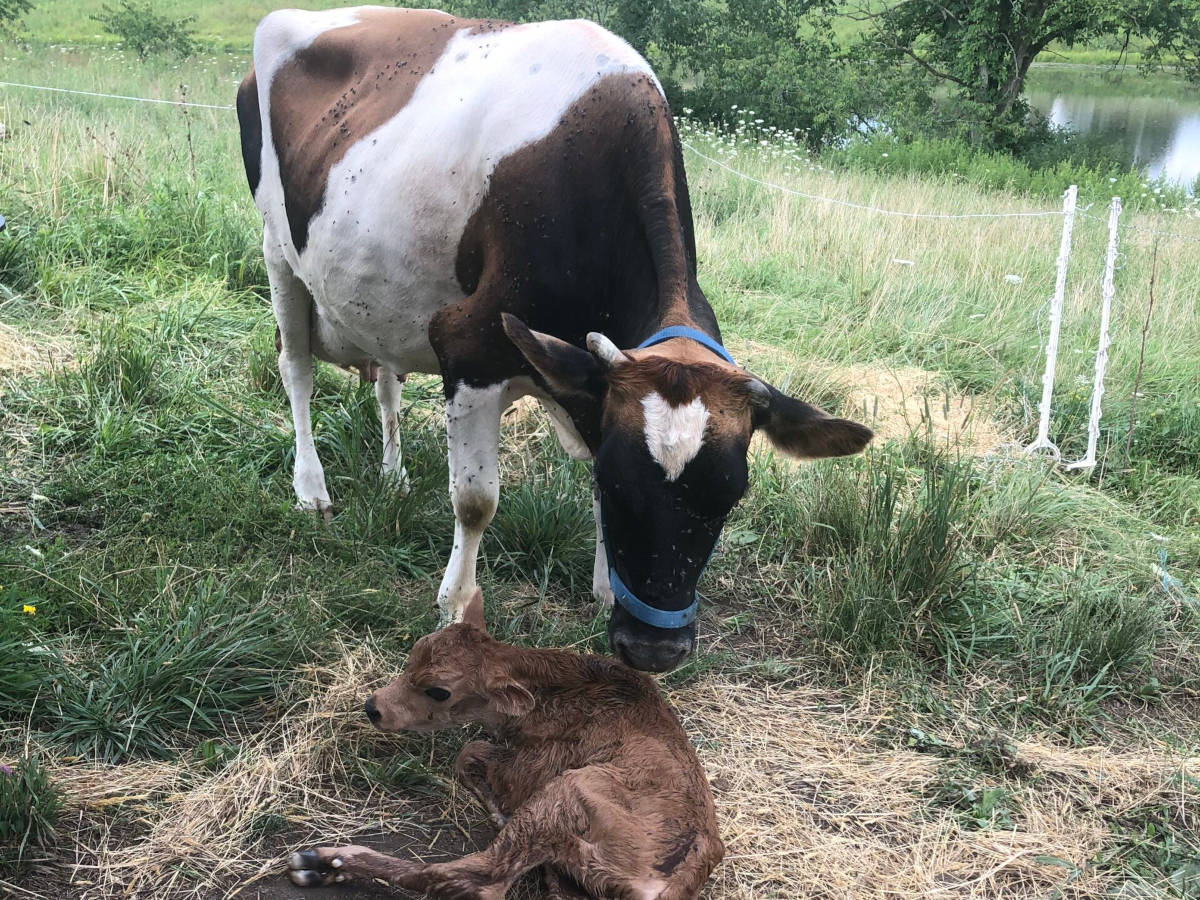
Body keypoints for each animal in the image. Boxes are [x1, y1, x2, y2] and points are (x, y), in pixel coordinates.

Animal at [236, 7, 871, 672]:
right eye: (618, 483)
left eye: (729, 496)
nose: (654, 650)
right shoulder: (469, 345)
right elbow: (476, 501)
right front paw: (456, 606)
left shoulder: (591, 383)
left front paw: (603, 589)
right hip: (278, 253)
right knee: (297, 370)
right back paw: (312, 490)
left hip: (379, 295)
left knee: (386, 384)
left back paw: (394, 475)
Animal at [287, 588, 724, 899]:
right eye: (412, 655)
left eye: (438, 691)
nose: (374, 708)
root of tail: (668, 885)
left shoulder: (534, 766)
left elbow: (470, 752)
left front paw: (496, 806)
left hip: (564, 792)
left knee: (479, 881)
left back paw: (319, 861)